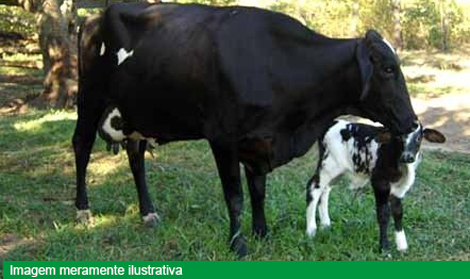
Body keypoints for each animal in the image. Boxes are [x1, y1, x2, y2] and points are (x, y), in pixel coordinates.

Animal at [71, 1, 416, 258]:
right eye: (388, 69)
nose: (413, 122)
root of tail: (94, 17)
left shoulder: (259, 142)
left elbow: (258, 191)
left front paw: (261, 232)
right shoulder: (223, 137)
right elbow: (235, 196)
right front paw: (238, 245)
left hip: (136, 115)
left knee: (135, 156)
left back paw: (147, 213)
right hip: (90, 98)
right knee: (81, 146)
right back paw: (82, 211)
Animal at [306, 120, 446, 254]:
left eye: (419, 138)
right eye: (399, 137)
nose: (408, 157)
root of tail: (331, 123)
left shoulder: (399, 190)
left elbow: (398, 212)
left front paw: (402, 246)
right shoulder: (380, 182)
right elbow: (383, 214)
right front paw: (384, 248)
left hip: (335, 171)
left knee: (325, 190)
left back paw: (325, 224)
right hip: (329, 166)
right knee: (313, 187)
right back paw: (311, 230)